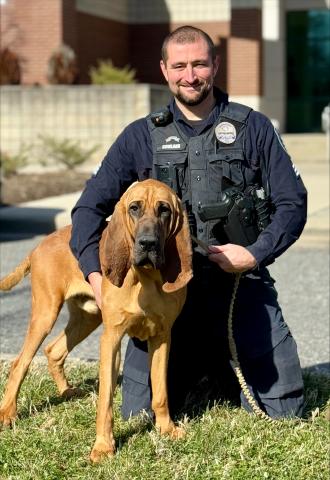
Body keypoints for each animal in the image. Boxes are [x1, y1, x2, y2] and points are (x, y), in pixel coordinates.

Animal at [0, 179, 193, 462]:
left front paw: (166, 429)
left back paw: (67, 392)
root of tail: (39, 246)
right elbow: (105, 401)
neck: (145, 279)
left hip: (87, 318)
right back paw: (8, 412)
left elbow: (160, 392)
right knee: (20, 362)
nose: (147, 244)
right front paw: (103, 446)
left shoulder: (162, 336)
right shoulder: (111, 337)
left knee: (54, 350)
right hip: (46, 313)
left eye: (164, 210)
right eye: (134, 208)